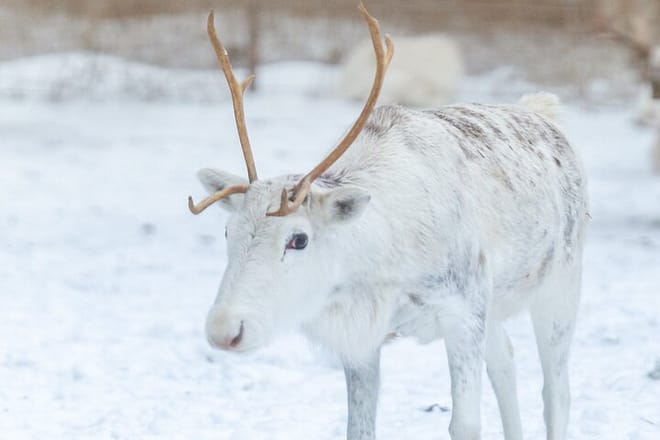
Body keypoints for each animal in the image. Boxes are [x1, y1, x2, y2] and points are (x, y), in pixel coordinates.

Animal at [189, 4, 589, 440]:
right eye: (227, 231)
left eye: (298, 239)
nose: (225, 329)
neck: (383, 263)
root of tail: (543, 111)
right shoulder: (364, 339)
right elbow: (359, 428)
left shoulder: (463, 311)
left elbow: (465, 424)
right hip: (496, 302)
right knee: (506, 364)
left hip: (560, 286)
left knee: (557, 392)